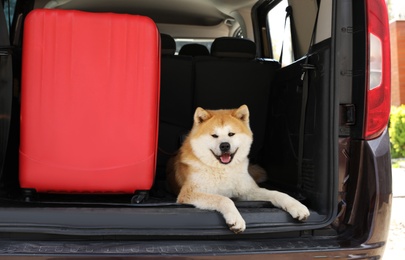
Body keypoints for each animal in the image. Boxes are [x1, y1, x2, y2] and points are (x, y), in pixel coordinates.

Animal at [167, 104, 310, 233]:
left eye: (231, 134)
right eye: (214, 135)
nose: (225, 145)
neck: (223, 170)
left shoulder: (248, 190)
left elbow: (277, 193)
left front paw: (296, 205)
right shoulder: (189, 193)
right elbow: (224, 199)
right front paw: (236, 219)